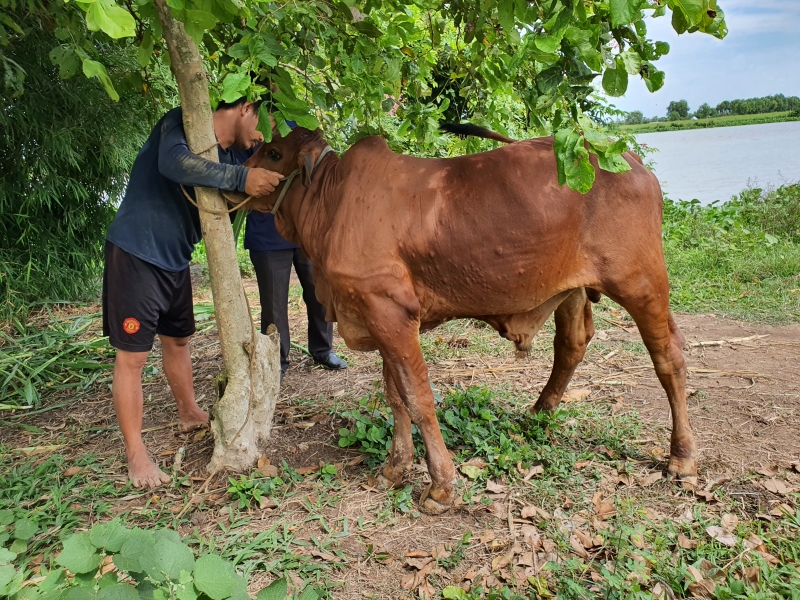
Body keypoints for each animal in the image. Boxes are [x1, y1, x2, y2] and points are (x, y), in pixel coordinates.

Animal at [241, 126, 696, 516]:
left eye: (274, 153)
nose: (243, 179)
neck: (331, 202)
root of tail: (631, 159)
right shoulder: (378, 315)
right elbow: (395, 396)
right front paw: (393, 470)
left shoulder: (390, 311)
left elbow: (418, 398)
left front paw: (441, 487)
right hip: (573, 289)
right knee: (572, 344)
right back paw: (539, 412)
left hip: (642, 282)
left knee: (669, 357)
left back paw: (682, 458)